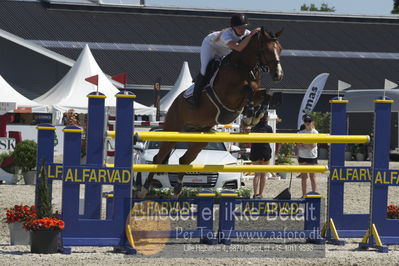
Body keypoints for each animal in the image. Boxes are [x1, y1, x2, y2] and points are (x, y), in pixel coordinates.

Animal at [138, 27, 284, 197]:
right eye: (267, 50)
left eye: (280, 49)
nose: (278, 75)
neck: (242, 66)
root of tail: (174, 104)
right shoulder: (228, 95)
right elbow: (248, 89)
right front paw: (249, 116)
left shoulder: (256, 93)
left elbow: (267, 92)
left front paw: (256, 115)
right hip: (172, 132)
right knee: (158, 158)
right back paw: (144, 190)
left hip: (200, 139)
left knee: (184, 160)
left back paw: (176, 191)